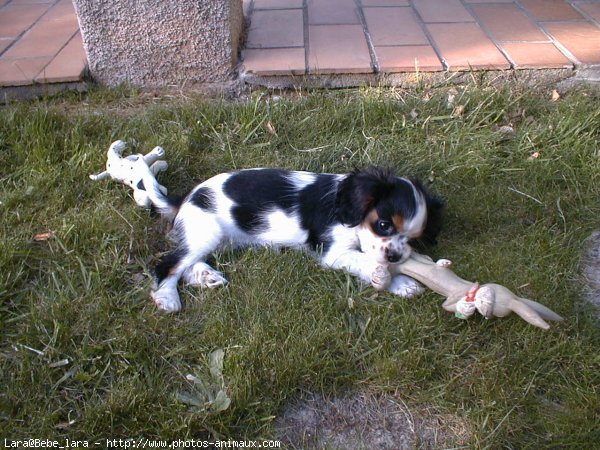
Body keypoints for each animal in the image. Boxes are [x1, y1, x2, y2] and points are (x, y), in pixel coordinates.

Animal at [143, 166, 442, 312]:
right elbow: (367, 262)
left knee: (187, 262)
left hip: (212, 238)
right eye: (383, 225)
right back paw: (168, 298)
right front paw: (391, 277)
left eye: (413, 239)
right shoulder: (335, 252)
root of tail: (186, 197)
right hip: (209, 230)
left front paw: (403, 283)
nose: (395, 255)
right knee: (169, 264)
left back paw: (206, 276)